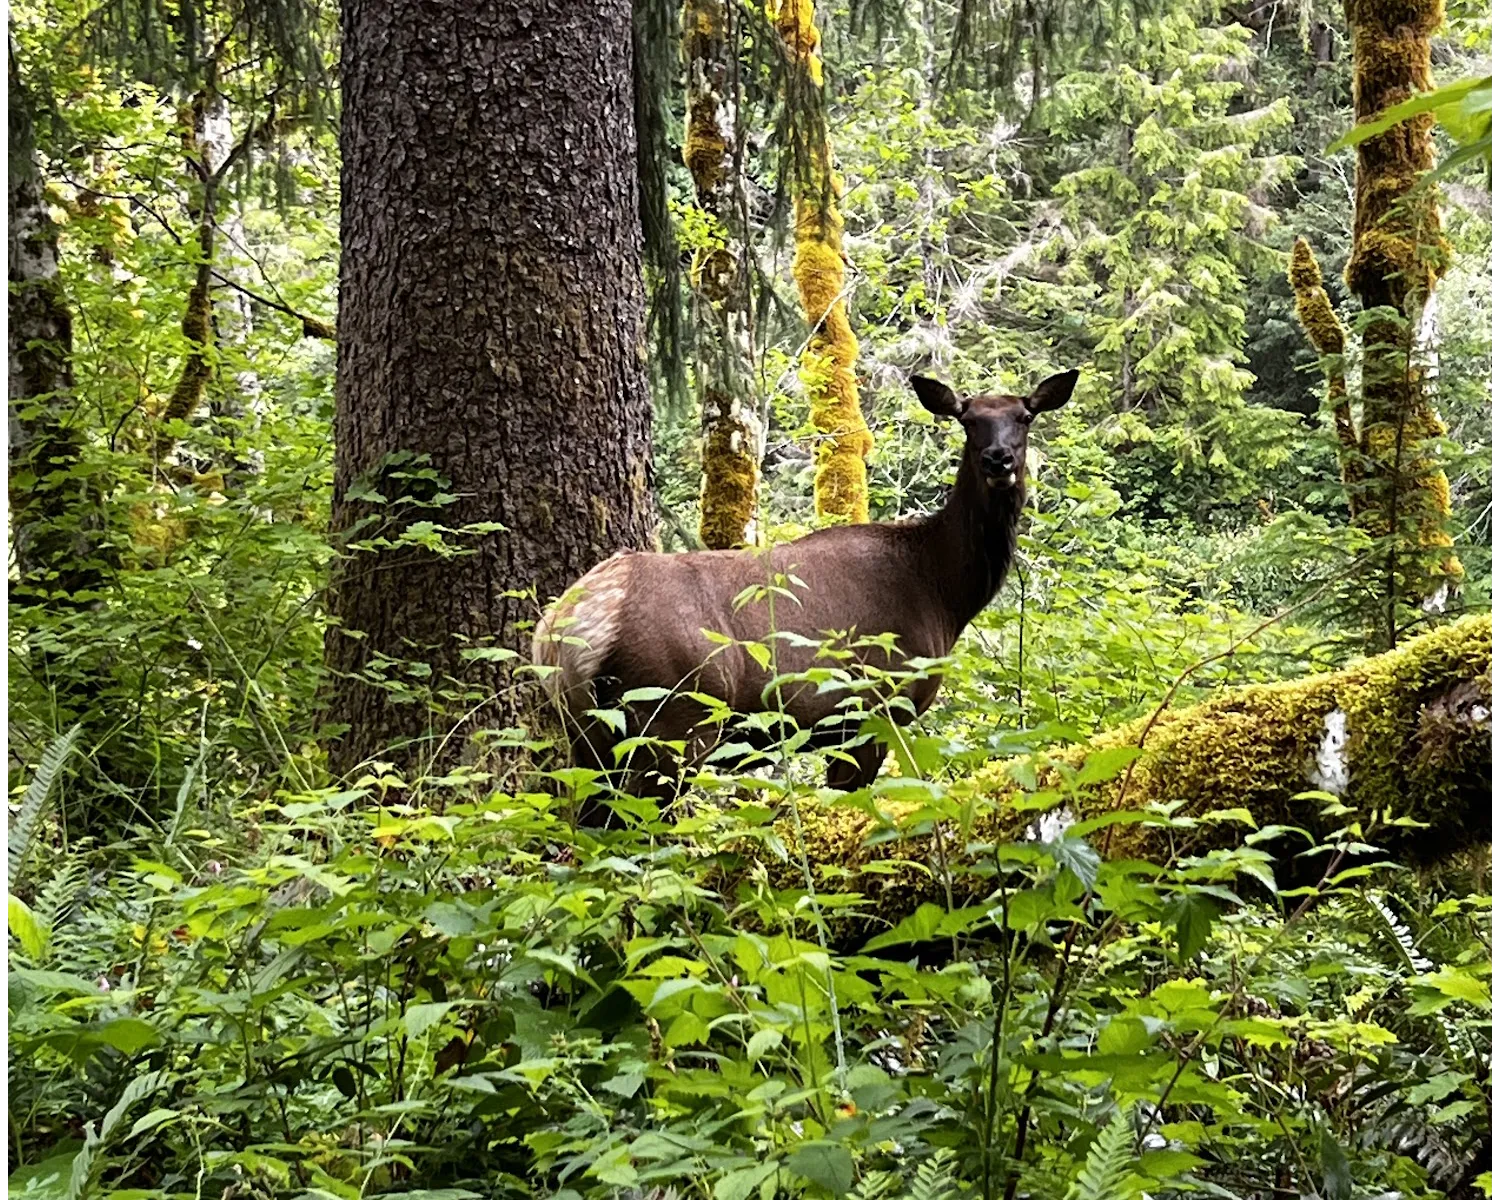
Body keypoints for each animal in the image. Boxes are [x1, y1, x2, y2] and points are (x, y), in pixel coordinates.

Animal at [533, 369, 1078, 814]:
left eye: (1024, 416)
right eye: (967, 420)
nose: (998, 458)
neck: (942, 591)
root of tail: (562, 632)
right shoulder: (873, 709)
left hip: (587, 734)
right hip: (673, 716)